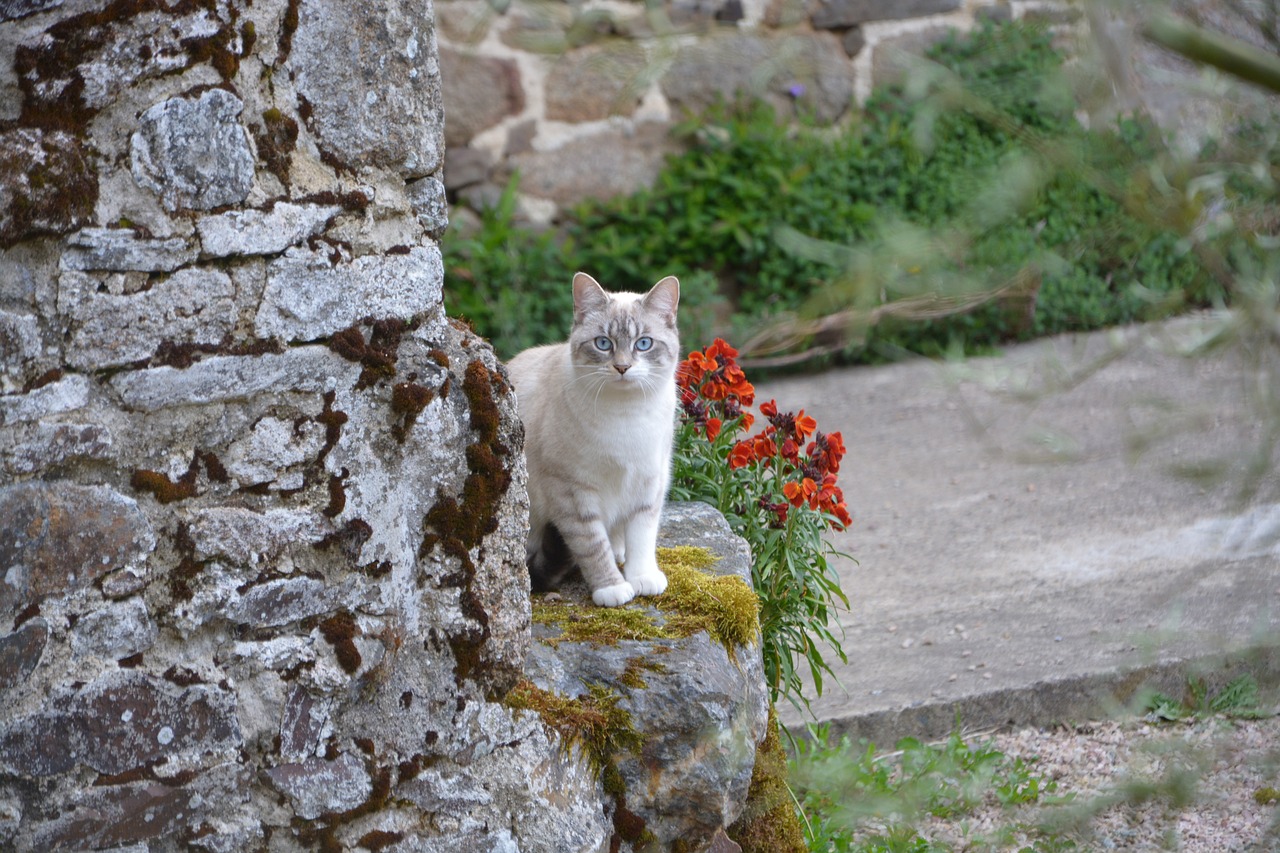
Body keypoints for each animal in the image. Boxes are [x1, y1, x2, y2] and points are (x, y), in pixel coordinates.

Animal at [504, 272, 680, 604]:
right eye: (603, 343)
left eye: (643, 344)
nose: (622, 367)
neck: (626, 415)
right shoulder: (572, 491)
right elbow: (592, 545)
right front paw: (612, 588)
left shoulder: (649, 482)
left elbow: (643, 537)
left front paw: (643, 578)